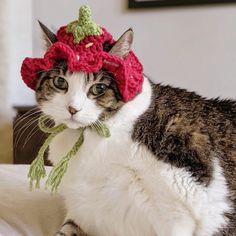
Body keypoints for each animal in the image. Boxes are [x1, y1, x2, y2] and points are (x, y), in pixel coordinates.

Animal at [35, 22, 236, 236]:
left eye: (98, 88)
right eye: (60, 82)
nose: (73, 109)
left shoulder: (187, 201)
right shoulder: (83, 209)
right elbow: (67, 228)